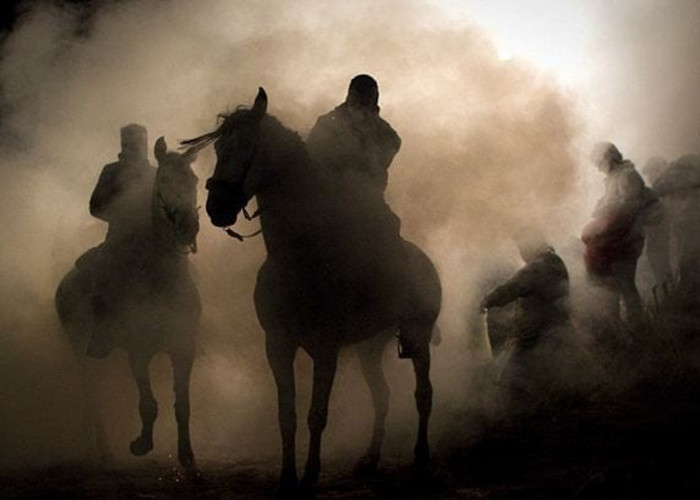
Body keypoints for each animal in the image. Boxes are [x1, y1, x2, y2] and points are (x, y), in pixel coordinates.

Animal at [55, 139, 200, 470]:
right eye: (164, 179)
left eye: (194, 181)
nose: (188, 225)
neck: (161, 280)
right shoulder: (138, 351)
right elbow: (148, 404)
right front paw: (141, 444)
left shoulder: (183, 348)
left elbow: (182, 405)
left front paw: (187, 456)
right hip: (79, 347)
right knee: (91, 395)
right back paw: (104, 452)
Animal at [183, 88, 440, 486]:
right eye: (220, 148)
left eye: (248, 145)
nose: (217, 207)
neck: (300, 257)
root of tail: (424, 261)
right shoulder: (277, 344)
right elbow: (286, 415)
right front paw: (288, 478)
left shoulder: (325, 348)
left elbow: (316, 415)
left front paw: (309, 477)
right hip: (370, 347)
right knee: (381, 395)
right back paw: (369, 458)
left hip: (418, 333)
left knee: (423, 394)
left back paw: (421, 457)